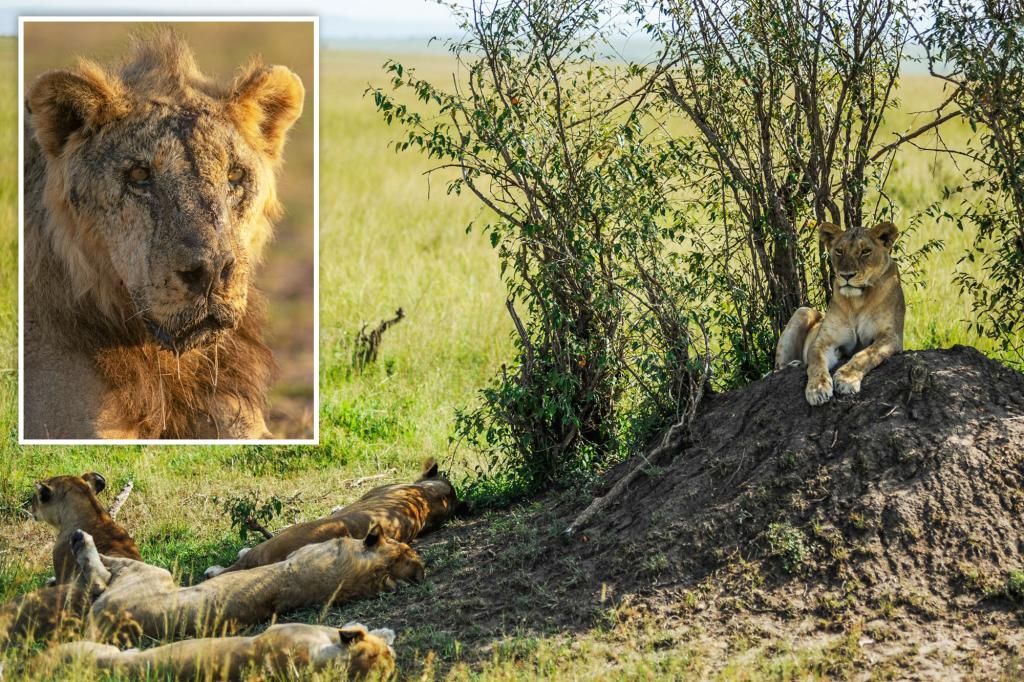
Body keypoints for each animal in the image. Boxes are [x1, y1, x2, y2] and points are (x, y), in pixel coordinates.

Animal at [774, 220, 905, 403]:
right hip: (803, 311)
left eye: (865, 251)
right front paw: (817, 388)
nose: (846, 275)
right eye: (839, 251)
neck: (857, 301)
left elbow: (864, 355)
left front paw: (846, 380)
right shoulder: (824, 341)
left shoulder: (891, 337)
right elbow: (816, 363)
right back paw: (793, 364)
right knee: (774, 369)